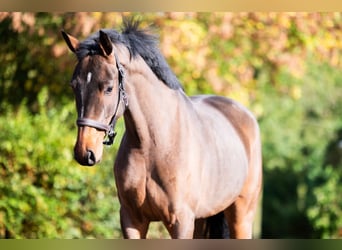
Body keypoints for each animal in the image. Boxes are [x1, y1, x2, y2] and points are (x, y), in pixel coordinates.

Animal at [61, 19, 262, 238]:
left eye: (108, 88)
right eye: (74, 86)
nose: (84, 152)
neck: (154, 145)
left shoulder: (181, 222)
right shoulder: (132, 220)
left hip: (241, 217)